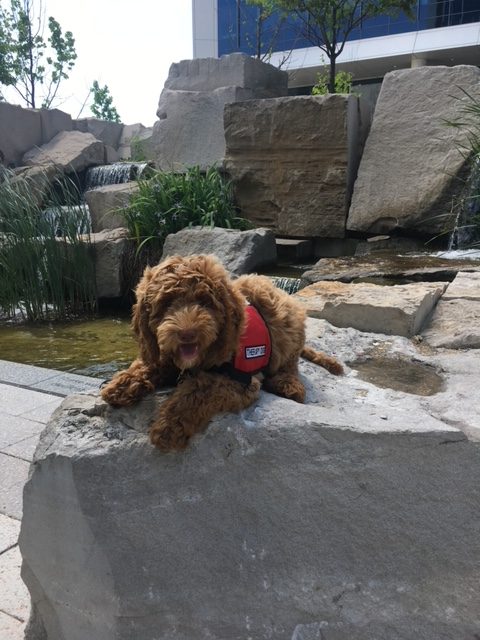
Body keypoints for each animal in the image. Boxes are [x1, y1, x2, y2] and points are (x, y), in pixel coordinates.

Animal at [101, 252, 344, 452]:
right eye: (166, 303)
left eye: (204, 302)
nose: (187, 334)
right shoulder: (165, 356)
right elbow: (149, 364)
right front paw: (121, 385)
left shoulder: (240, 382)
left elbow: (197, 391)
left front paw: (168, 426)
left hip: (289, 329)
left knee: (289, 363)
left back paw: (288, 384)